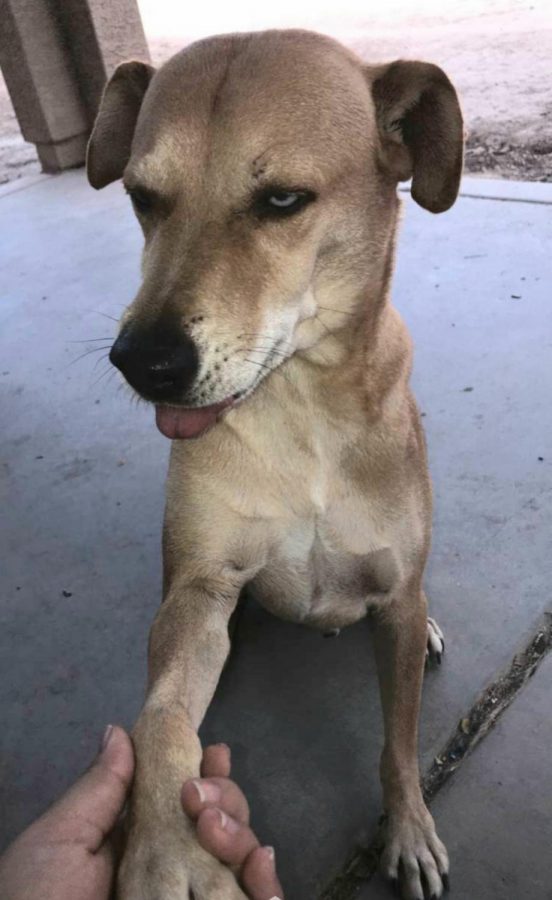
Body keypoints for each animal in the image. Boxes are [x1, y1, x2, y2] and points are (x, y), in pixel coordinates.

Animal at [87, 28, 462, 900]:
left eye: (283, 201)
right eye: (142, 197)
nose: (143, 362)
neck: (301, 413)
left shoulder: (393, 599)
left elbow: (400, 741)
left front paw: (408, 829)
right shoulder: (200, 588)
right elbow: (160, 719)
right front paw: (165, 846)